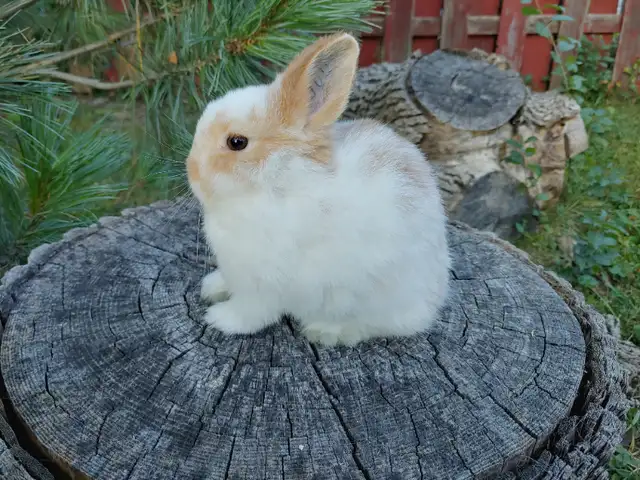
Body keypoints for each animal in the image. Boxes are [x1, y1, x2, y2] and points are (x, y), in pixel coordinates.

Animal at [186, 32, 451, 346]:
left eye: (237, 142)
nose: (191, 171)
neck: (275, 181)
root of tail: (436, 297)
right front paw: (211, 287)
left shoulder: (263, 286)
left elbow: (250, 313)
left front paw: (219, 319)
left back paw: (324, 331)